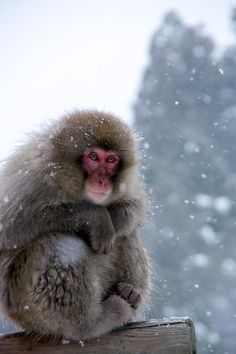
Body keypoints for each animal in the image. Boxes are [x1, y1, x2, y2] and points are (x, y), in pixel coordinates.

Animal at [0, 110, 151, 340]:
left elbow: (134, 207)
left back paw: (130, 293)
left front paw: (115, 220)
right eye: (93, 157)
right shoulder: (30, 179)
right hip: (28, 306)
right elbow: (10, 229)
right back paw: (93, 324)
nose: (102, 180)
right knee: (59, 242)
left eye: (111, 160)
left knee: (127, 235)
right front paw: (97, 217)